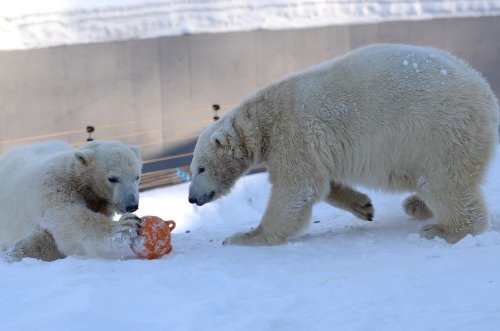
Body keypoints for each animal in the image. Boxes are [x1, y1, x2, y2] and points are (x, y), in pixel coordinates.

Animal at [0, 140, 145, 262]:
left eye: (137, 176)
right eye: (113, 178)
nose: (132, 205)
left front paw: (20, 250)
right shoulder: (53, 187)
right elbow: (71, 220)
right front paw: (128, 225)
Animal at [188, 42, 500, 246]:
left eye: (200, 168)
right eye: (192, 170)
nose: (192, 198)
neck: (263, 118)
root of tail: (486, 94)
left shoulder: (293, 132)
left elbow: (297, 188)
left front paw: (245, 236)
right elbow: (324, 183)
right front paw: (363, 206)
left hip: (438, 130)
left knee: (443, 182)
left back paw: (443, 229)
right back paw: (416, 205)